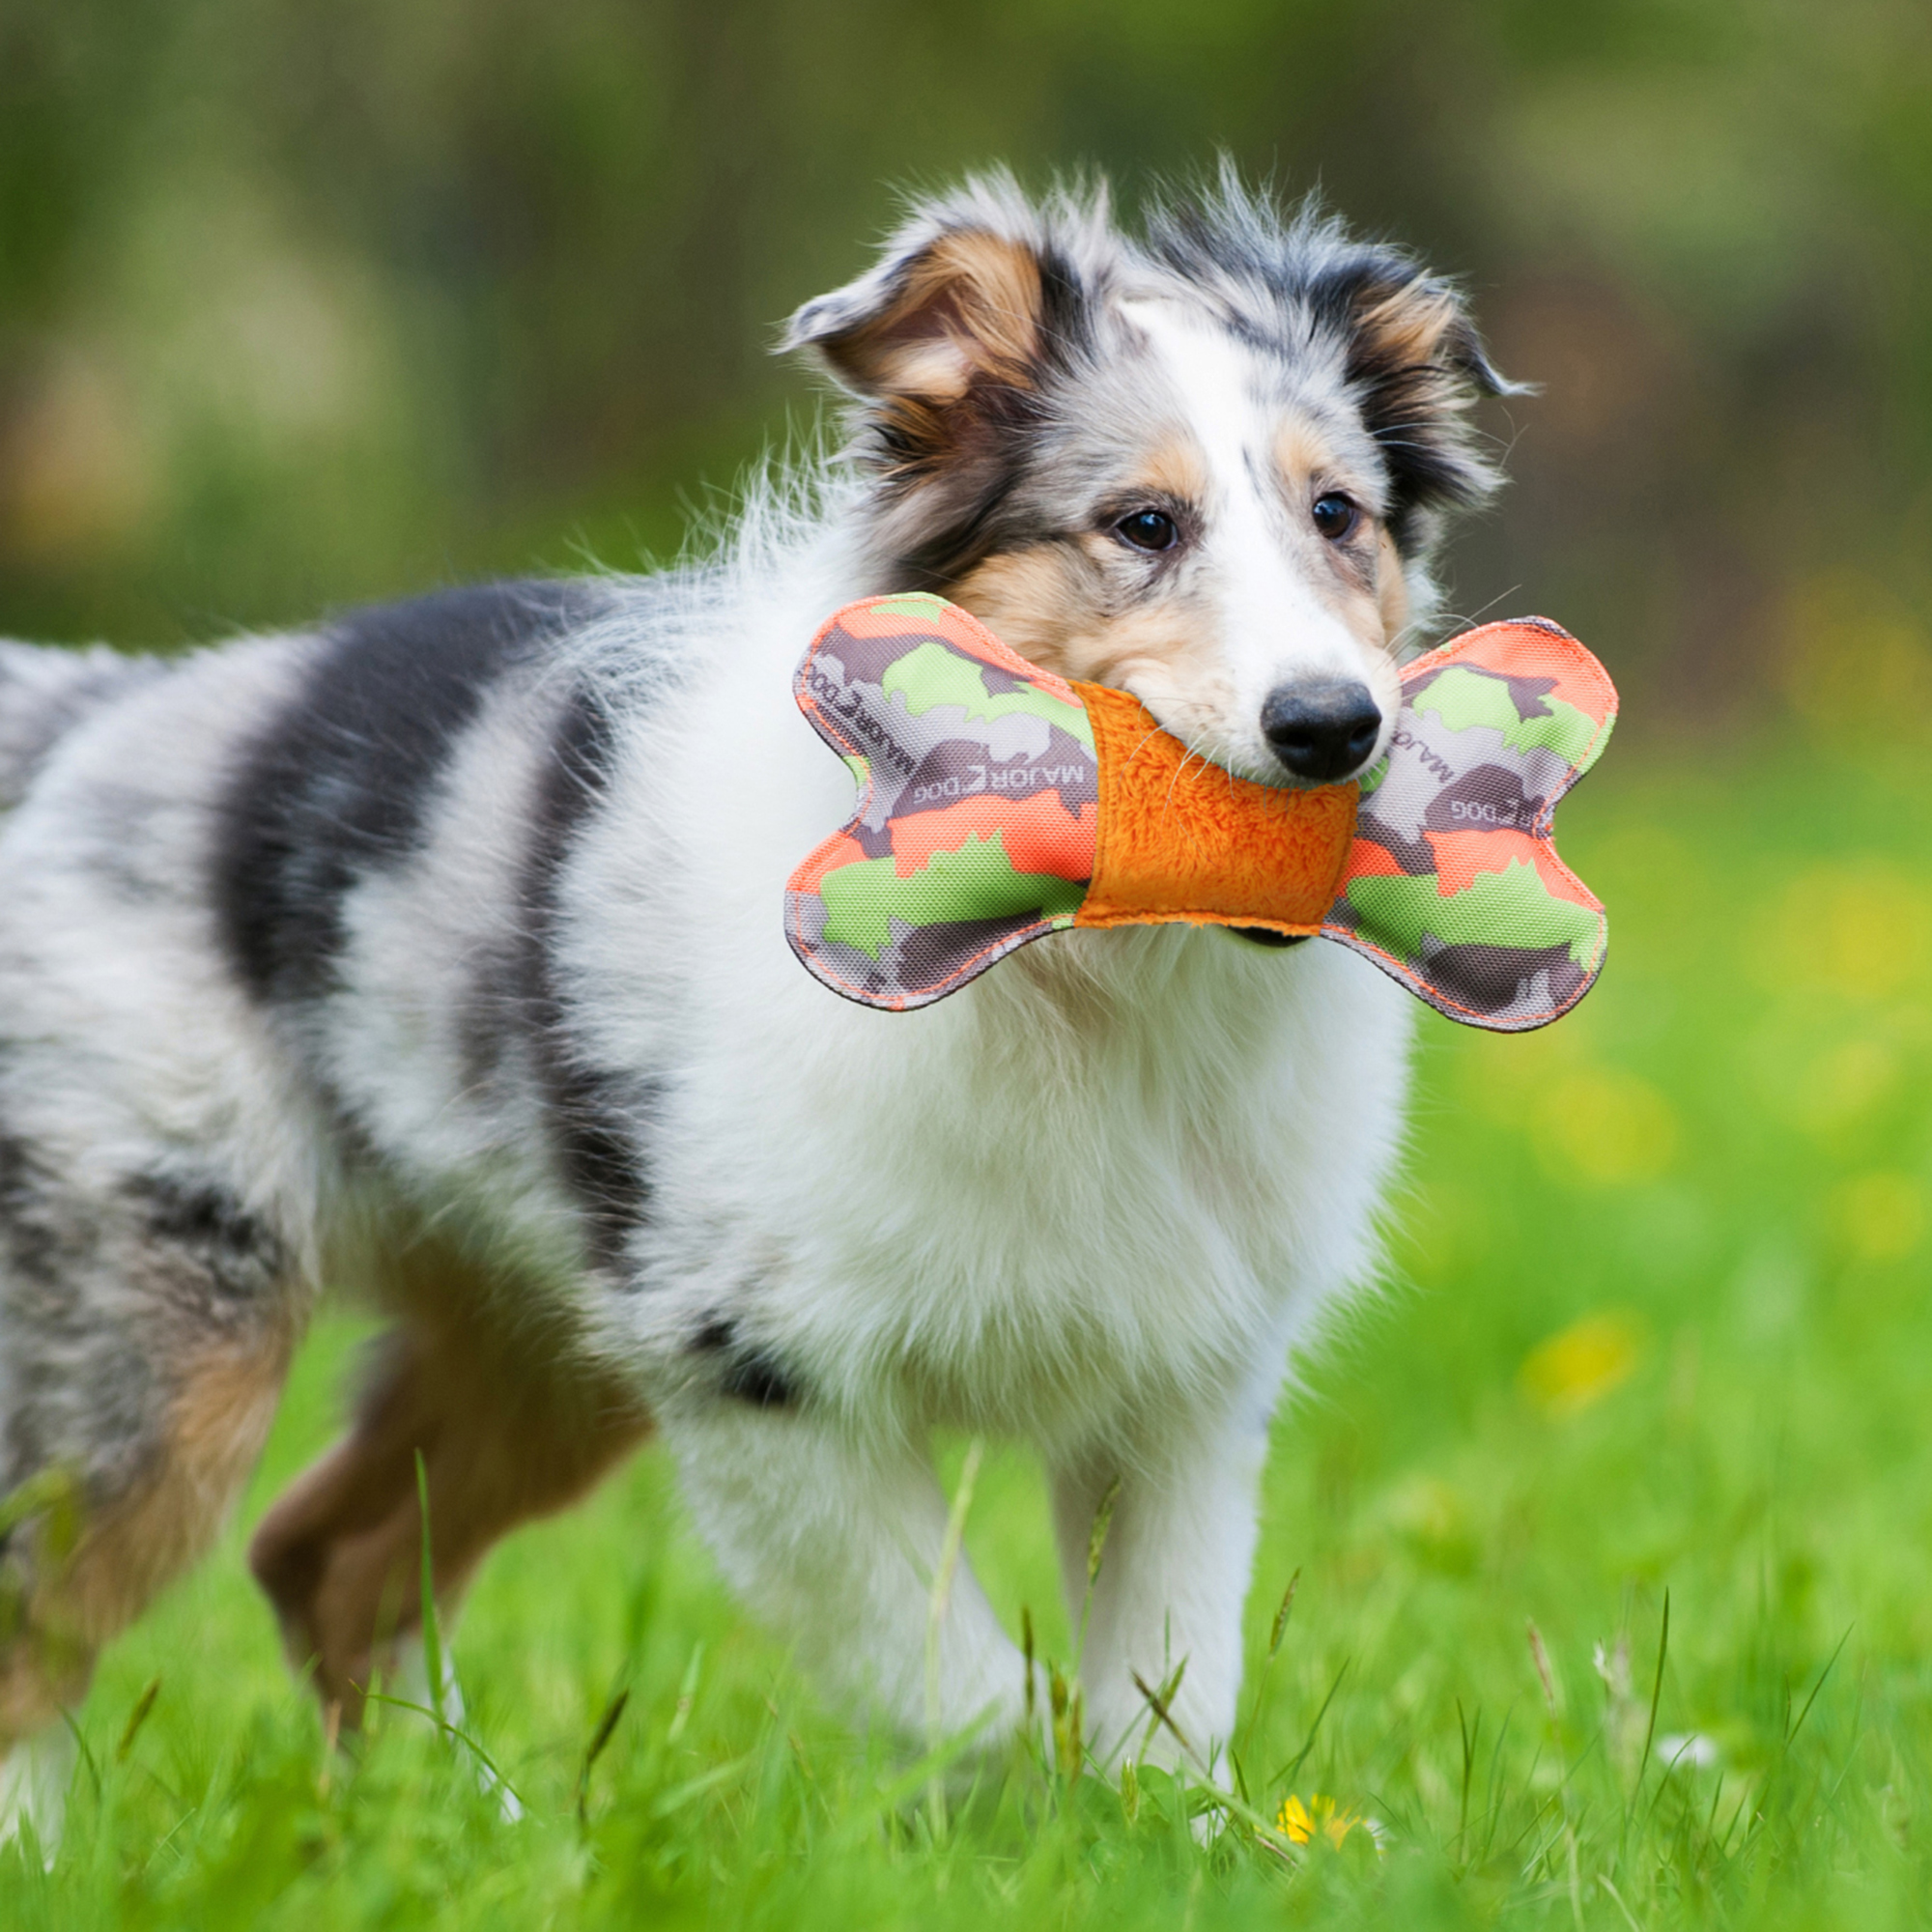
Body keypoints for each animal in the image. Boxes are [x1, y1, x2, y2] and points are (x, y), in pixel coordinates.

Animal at [0, 170, 1507, 1839]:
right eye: (1142, 524)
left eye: (1339, 516)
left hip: (538, 1337)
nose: (1334, 728)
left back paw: (458, 1832)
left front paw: (1162, 1847)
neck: (1091, 979)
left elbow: (1163, 1694)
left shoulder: (1182, 1387)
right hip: (165, 1339)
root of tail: (96, 711)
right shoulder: (755, 1370)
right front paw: (1004, 1840)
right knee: (45, 1616)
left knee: (323, 1558)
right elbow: (960, 1687)